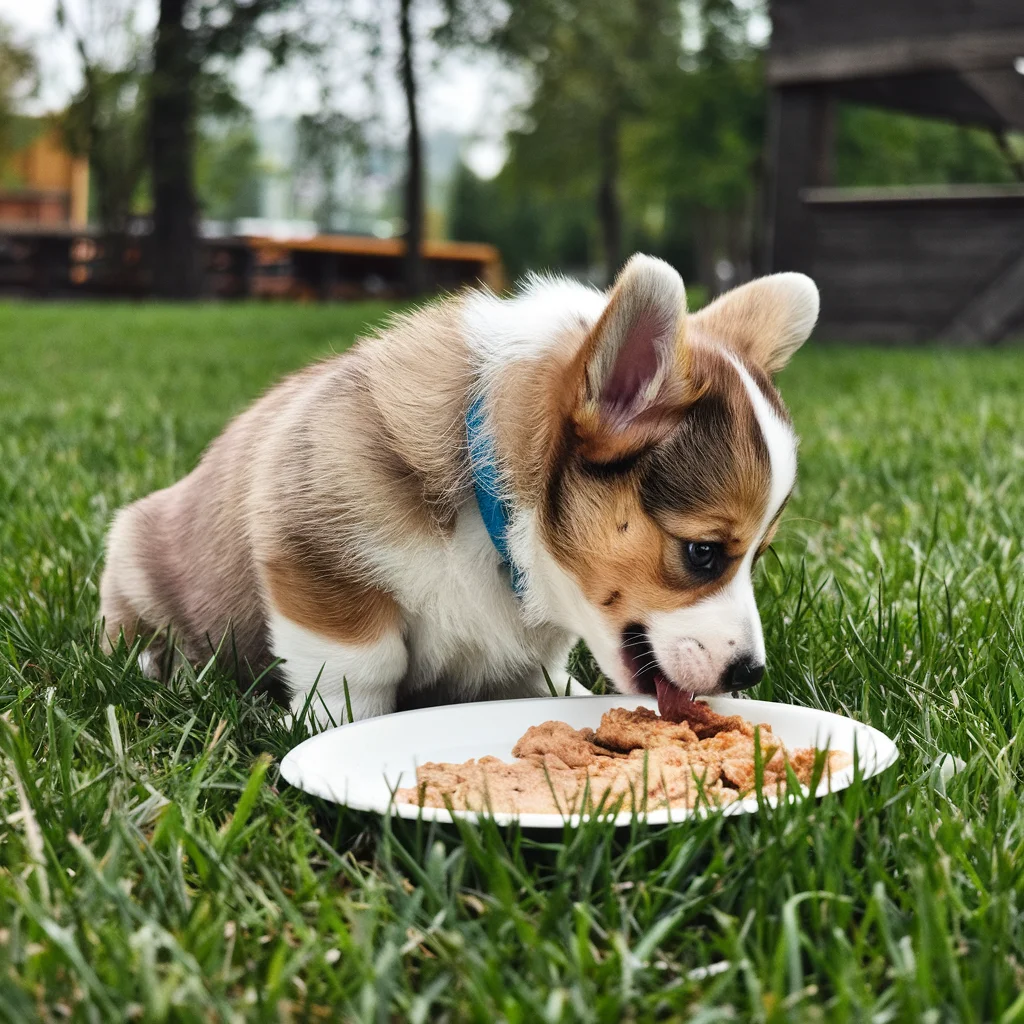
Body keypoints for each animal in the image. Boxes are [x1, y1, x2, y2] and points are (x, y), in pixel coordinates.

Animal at [99, 260, 819, 733]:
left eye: (758, 558)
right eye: (703, 553)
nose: (750, 675)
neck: (492, 508)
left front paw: (561, 689)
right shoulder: (313, 556)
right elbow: (362, 663)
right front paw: (338, 730)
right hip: (134, 556)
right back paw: (158, 666)